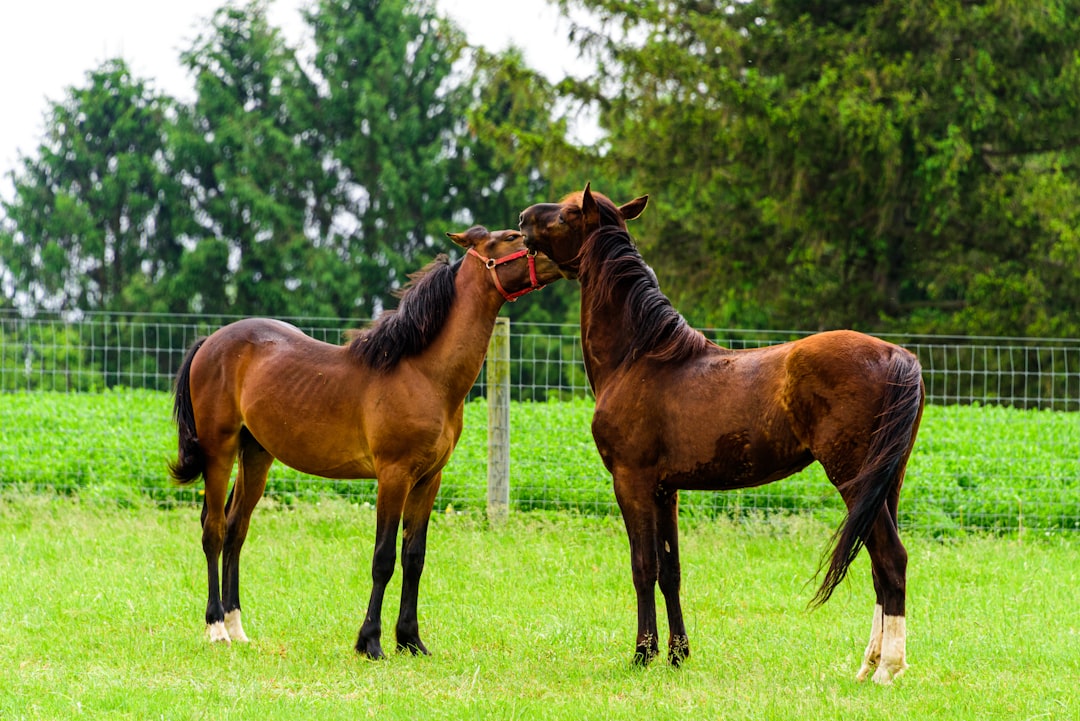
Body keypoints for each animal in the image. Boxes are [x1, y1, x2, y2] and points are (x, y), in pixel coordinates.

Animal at [170, 226, 557, 660]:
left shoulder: (429, 480)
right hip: (218, 451)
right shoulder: (393, 476)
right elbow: (384, 558)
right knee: (214, 530)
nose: (556, 255)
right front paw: (370, 641)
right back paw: (217, 626)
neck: (423, 373)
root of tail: (209, 342)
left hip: (256, 454)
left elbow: (414, 556)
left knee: (237, 529)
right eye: (510, 237)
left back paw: (237, 627)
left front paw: (411, 640)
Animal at [518, 184, 924, 682]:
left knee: (892, 560)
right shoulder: (665, 490)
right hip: (884, 485)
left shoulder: (631, 482)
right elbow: (670, 570)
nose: (522, 218)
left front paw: (642, 654)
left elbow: (642, 566)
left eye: (567, 214)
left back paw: (887, 670)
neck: (640, 356)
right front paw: (677, 655)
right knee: (879, 569)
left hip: (853, 479)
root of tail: (896, 356)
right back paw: (868, 666)